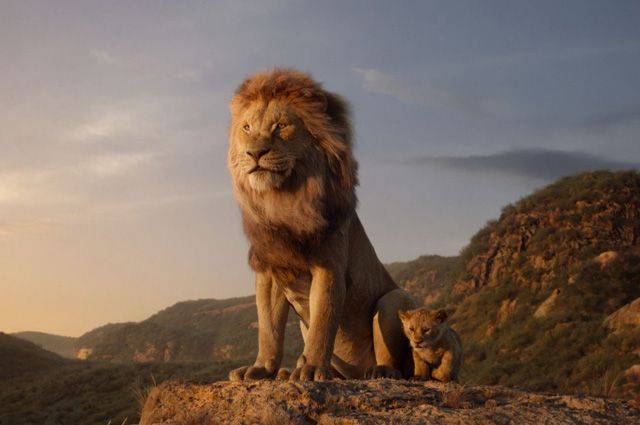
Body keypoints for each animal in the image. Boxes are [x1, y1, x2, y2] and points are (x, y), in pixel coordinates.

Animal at [226, 68, 418, 381]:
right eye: (246, 128)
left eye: (281, 126)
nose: (255, 153)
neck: (283, 199)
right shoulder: (270, 269)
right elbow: (268, 328)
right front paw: (262, 368)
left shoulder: (328, 266)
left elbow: (323, 321)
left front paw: (312, 368)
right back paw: (289, 372)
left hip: (394, 299)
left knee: (398, 362)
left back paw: (379, 371)